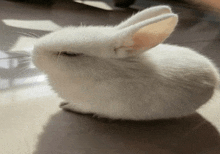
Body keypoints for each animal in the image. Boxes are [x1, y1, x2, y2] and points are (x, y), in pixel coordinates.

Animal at [31, 5, 219, 120]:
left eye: (70, 54)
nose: (33, 53)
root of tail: (214, 75)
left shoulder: (95, 104)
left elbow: (83, 107)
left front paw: (67, 106)